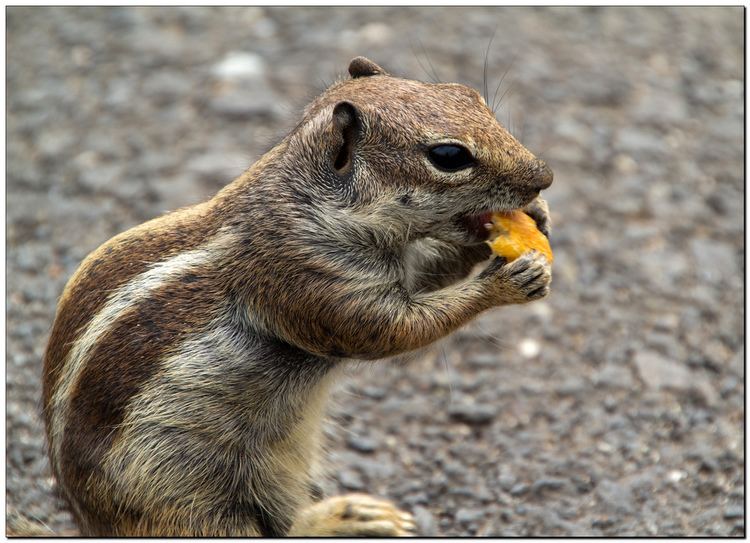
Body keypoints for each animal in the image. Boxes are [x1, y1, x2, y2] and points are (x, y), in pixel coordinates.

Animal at [42, 57, 560, 536]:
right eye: (449, 155)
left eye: (470, 94)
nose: (545, 177)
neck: (310, 201)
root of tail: (89, 523)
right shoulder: (308, 278)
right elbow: (390, 330)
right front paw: (504, 281)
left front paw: (532, 217)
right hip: (183, 503)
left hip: (282, 463)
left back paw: (350, 514)